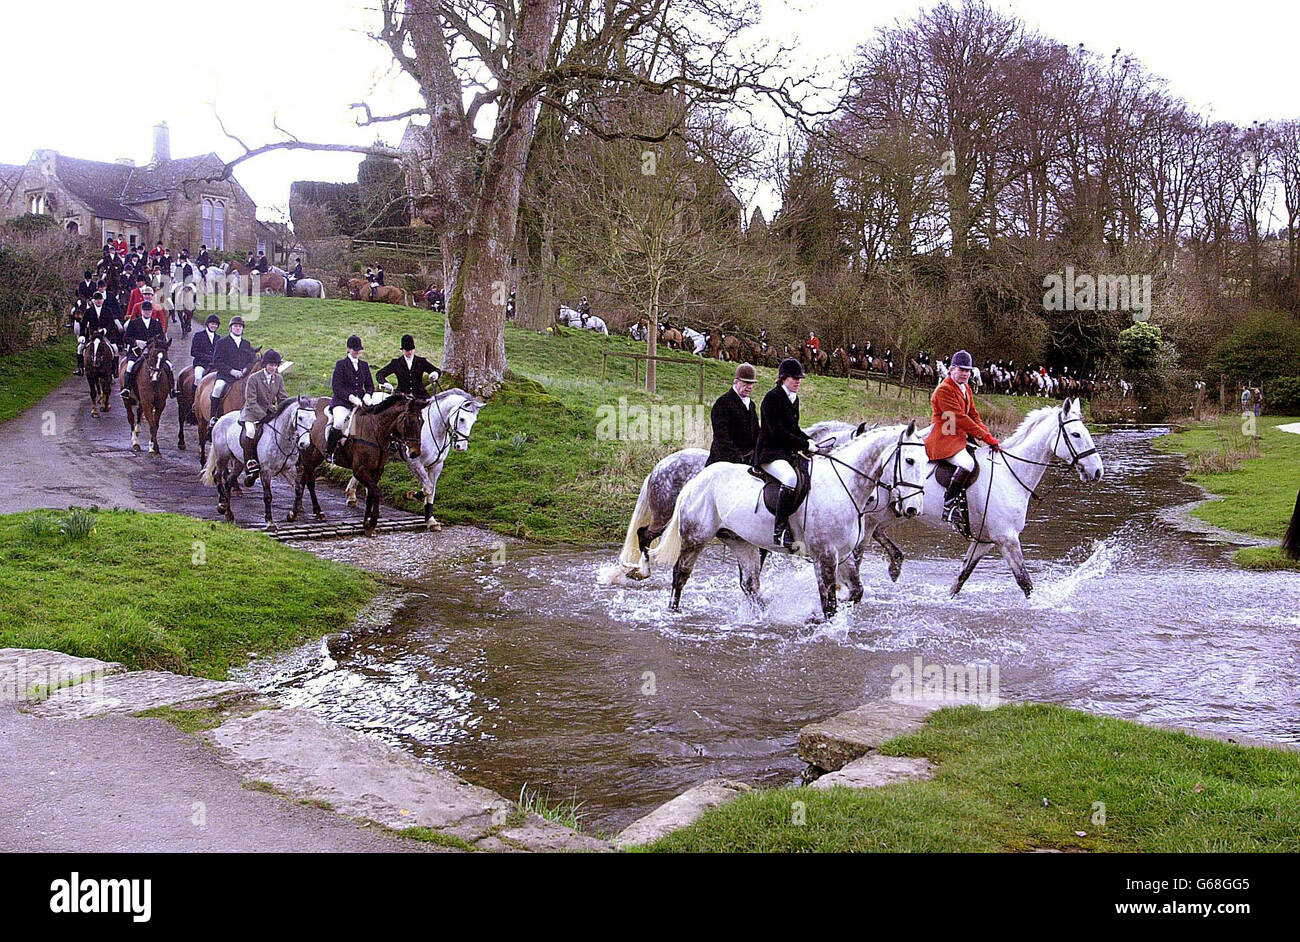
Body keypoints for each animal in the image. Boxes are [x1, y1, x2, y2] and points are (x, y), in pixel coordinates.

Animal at [295, 392, 426, 535]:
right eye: (409, 421)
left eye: (422, 422)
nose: (415, 452)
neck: (375, 431)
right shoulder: (359, 470)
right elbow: (375, 491)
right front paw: (372, 521)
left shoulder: (377, 470)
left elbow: (370, 494)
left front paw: (366, 524)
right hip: (308, 454)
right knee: (310, 481)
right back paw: (317, 511)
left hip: (316, 456)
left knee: (304, 478)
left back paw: (298, 507)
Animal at [343, 384, 486, 530]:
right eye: (462, 419)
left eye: (474, 421)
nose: (461, 446)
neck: (433, 428)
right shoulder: (415, 462)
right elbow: (427, 488)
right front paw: (411, 495)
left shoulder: (437, 465)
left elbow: (431, 491)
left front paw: (431, 520)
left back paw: (352, 494)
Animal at [650, 423, 925, 621]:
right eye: (909, 460)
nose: (913, 508)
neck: (843, 484)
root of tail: (696, 479)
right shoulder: (825, 555)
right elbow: (829, 604)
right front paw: (818, 618)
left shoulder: (843, 555)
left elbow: (856, 593)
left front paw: (813, 613)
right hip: (695, 537)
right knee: (680, 573)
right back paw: (673, 610)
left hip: (741, 542)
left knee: (750, 584)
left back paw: (763, 612)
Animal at [868, 397, 1102, 595]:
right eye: (1076, 434)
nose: (1098, 471)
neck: (1010, 473)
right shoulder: (1007, 538)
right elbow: (1024, 581)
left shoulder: (984, 541)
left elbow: (961, 579)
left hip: (896, 511)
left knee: (877, 532)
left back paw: (895, 565)